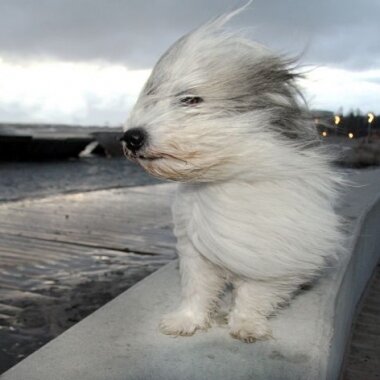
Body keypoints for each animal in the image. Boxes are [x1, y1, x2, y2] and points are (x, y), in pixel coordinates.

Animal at [122, 8, 344, 342]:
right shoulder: (194, 249)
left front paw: (246, 324)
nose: (131, 137)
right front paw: (187, 320)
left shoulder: (268, 251)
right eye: (152, 97)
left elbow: (255, 292)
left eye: (190, 99)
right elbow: (197, 289)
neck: (225, 176)